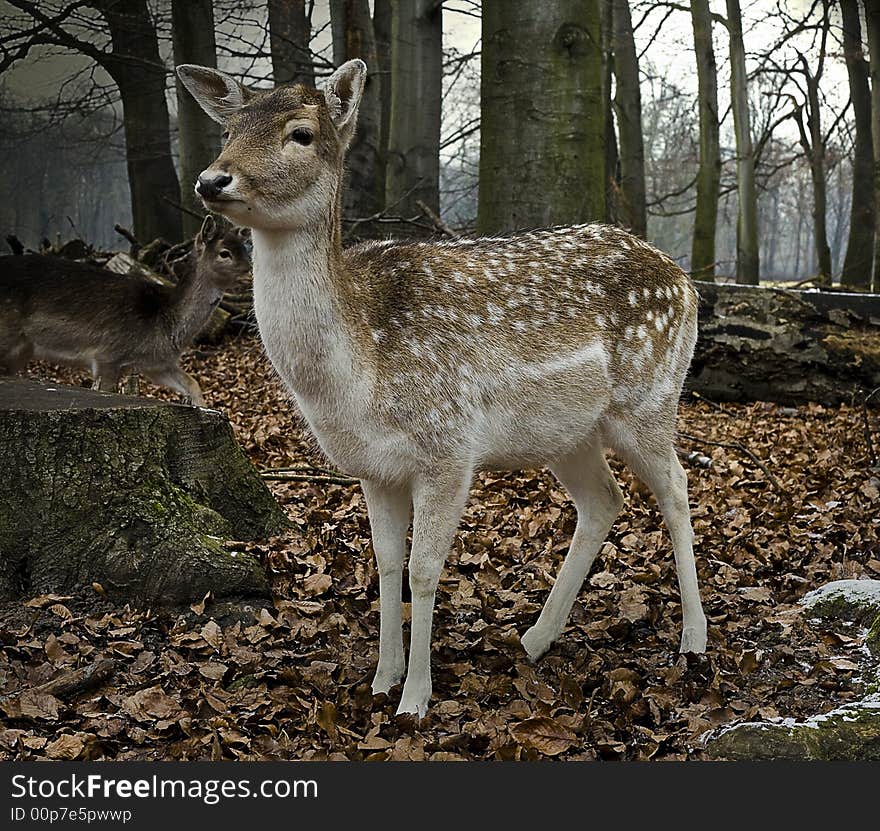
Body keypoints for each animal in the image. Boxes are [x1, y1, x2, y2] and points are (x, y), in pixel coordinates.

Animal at [1, 216, 253, 408]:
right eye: (224, 253)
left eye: (245, 249)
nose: (251, 271)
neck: (165, 325)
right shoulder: (107, 355)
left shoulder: (157, 365)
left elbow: (193, 383)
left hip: (20, 352)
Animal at [177, 60, 708, 720]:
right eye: (228, 130)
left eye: (301, 133)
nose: (211, 179)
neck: (358, 373)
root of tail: (686, 280)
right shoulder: (374, 468)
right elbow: (385, 564)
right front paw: (382, 678)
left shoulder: (449, 450)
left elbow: (425, 569)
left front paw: (415, 699)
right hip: (569, 434)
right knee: (604, 501)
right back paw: (534, 638)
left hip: (651, 398)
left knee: (678, 489)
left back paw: (693, 640)